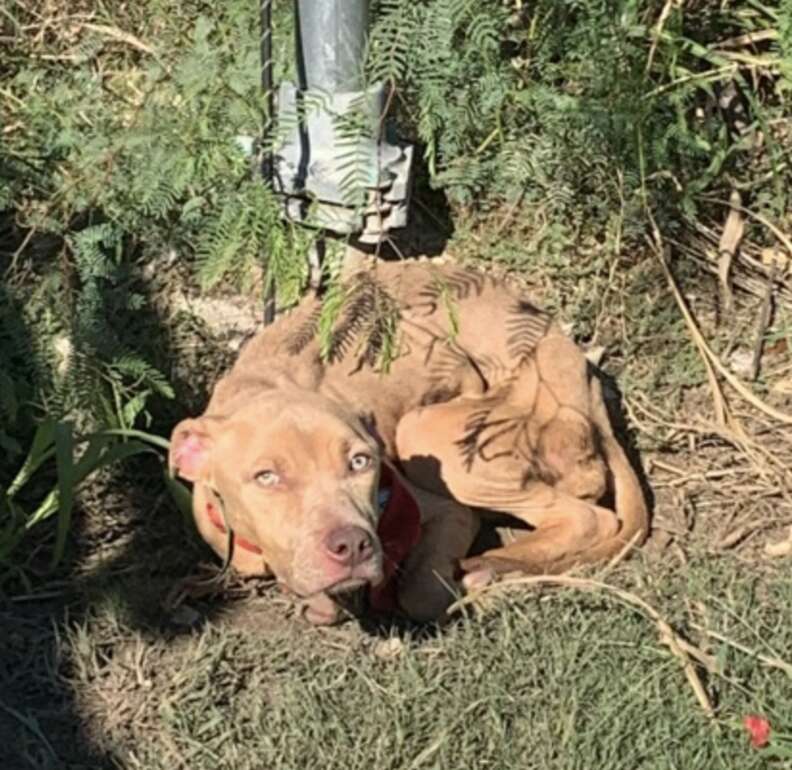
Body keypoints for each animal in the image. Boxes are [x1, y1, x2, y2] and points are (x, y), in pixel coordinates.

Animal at [170, 262, 648, 624]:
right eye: (266, 477)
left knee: (588, 519)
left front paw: (467, 587)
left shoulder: (444, 511)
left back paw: (493, 564)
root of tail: (585, 378)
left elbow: (420, 594)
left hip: (434, 434)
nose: (352, 546)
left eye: (361, 462)